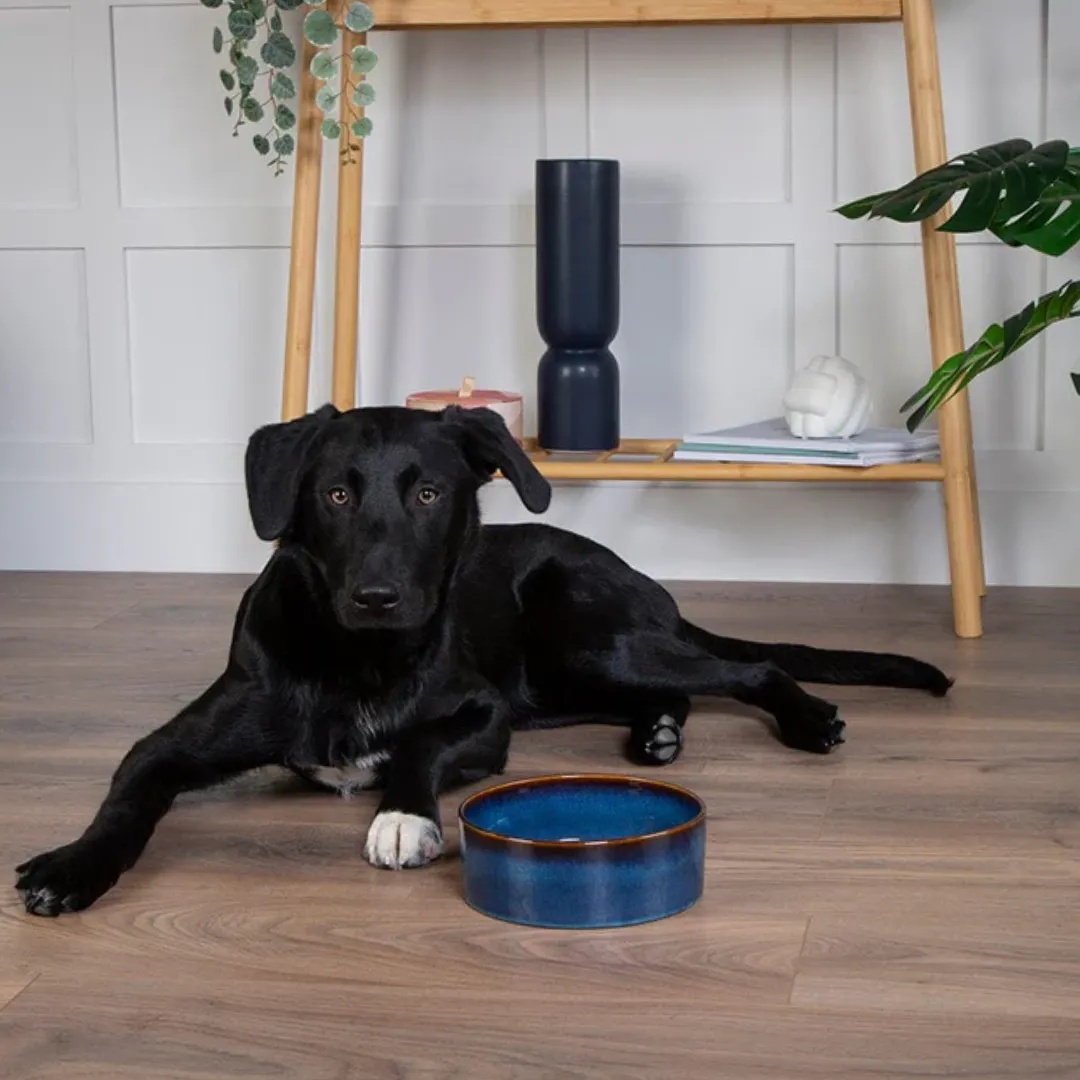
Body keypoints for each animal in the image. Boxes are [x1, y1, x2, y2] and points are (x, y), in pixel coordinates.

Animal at [14, 401, 946, 915]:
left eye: (431, 493)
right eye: (335, 494)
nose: (378, 596)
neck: (362, 657)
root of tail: (645, 584)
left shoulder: (483, 718)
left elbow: (419, 745)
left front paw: (402, 814)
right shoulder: (175, 740)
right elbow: (129, 791)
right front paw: (73, 863)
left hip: (589, 644)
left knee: (747, 671)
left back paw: (804, 718)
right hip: (566, 683)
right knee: (673, 693)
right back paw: (656, 736)